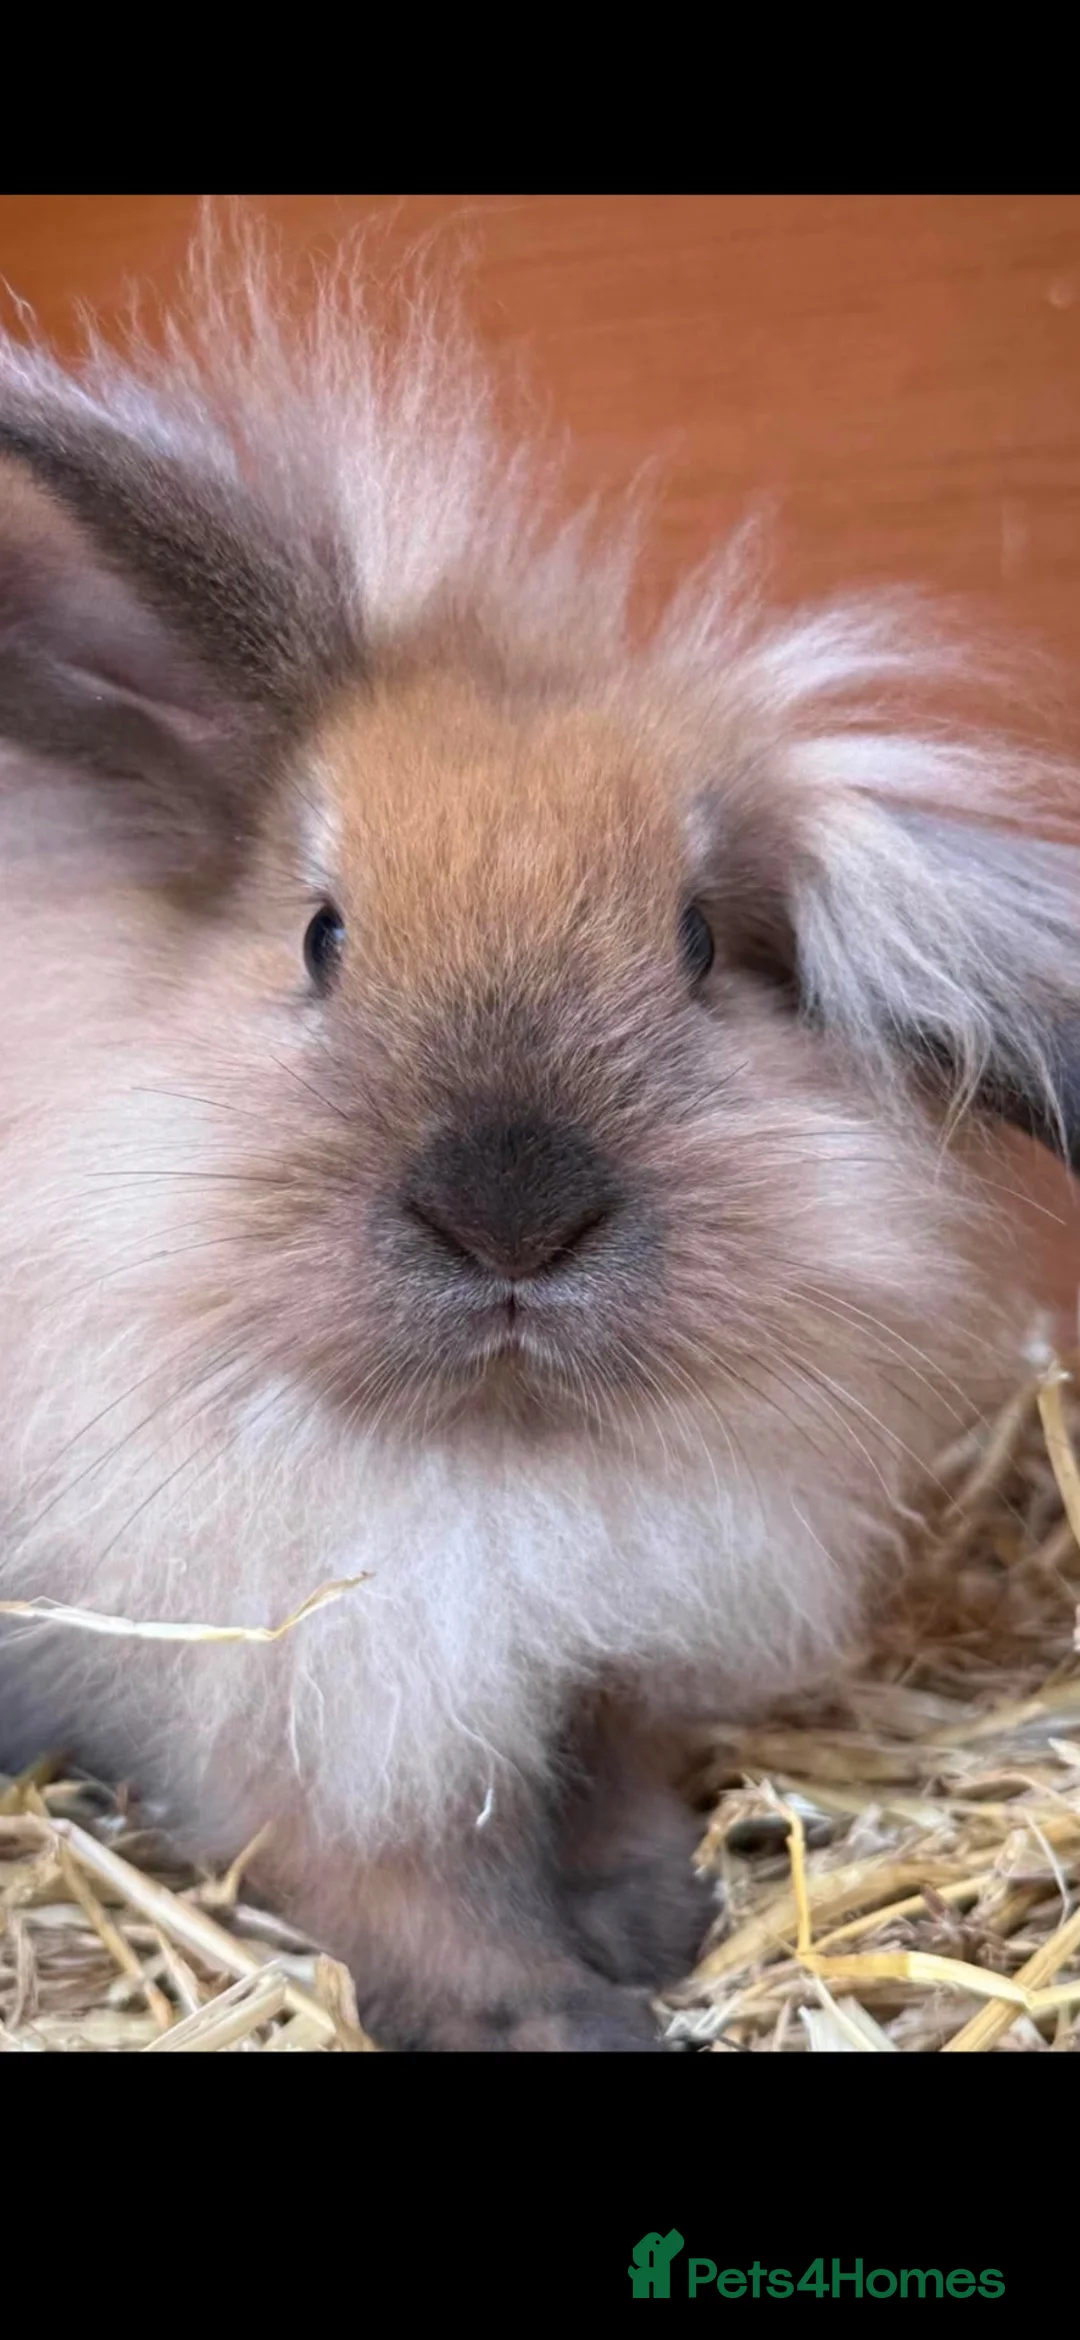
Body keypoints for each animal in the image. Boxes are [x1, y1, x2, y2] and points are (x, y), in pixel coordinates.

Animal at [1, 219, 1079, 2051]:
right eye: (320, 936)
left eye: (703, 944)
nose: (511, 1211)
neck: (500, 1477)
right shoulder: (307, 1720)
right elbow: (405, 1896)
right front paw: (563, 2017)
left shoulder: (601, 1668)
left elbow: (608, 1790)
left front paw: (657, 1923)